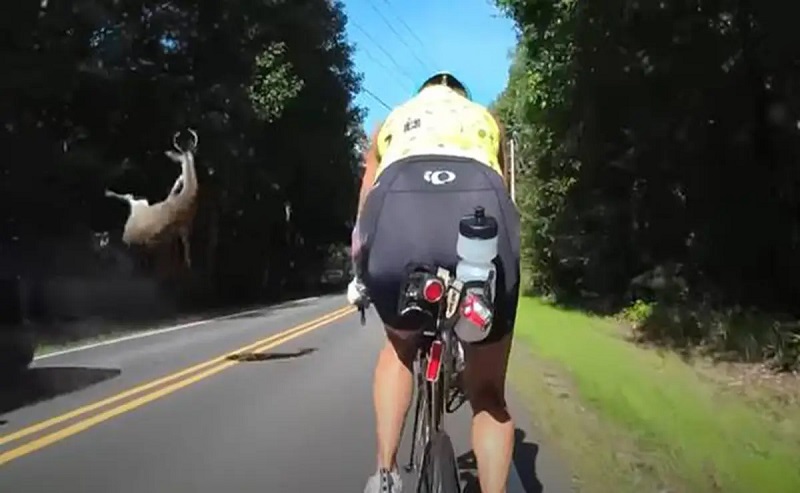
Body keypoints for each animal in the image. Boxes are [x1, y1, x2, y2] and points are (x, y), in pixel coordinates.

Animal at [104, 129, 200, 270]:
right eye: (181, 158)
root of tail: (127, 235)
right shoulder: (185, 225)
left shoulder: (183, 224)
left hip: (141, 207)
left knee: (129, 198)